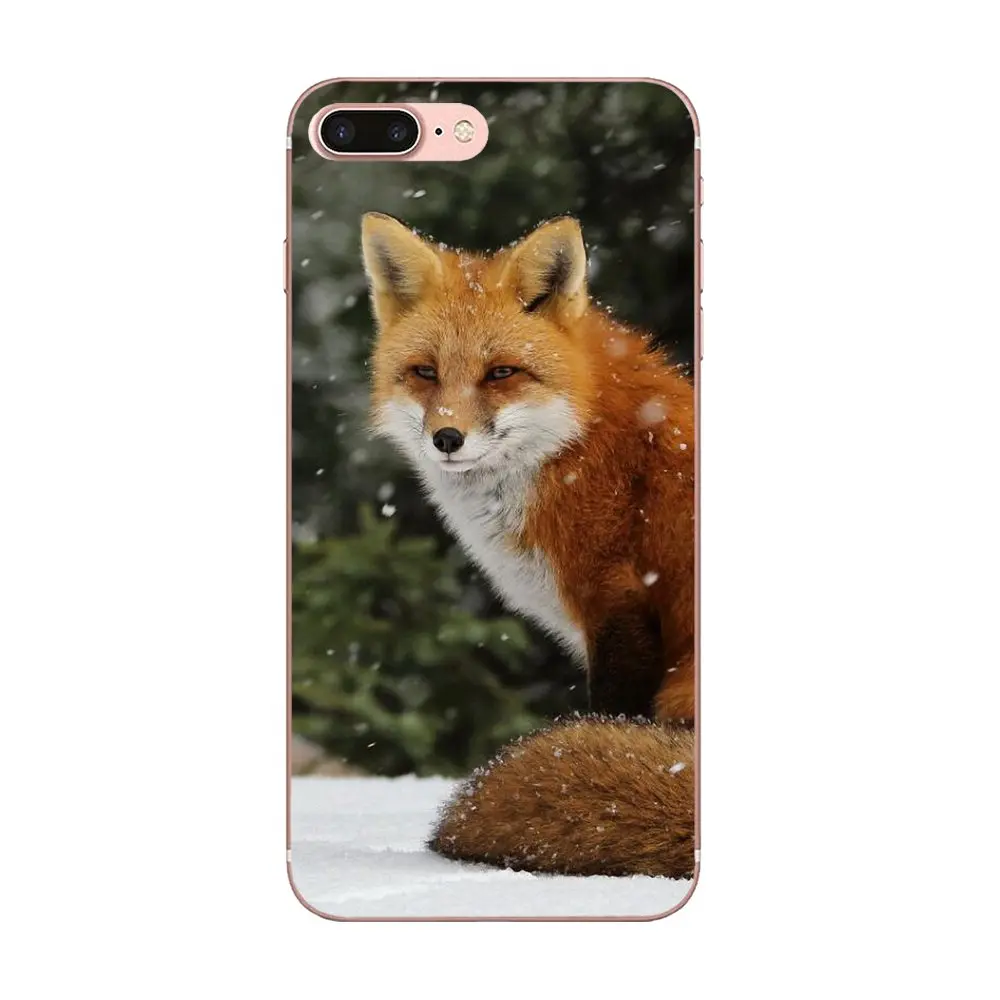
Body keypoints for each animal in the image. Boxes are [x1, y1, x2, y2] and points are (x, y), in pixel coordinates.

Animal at [361, 212, 696, 878]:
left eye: (501, 373)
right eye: (425, 371)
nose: (447, 438)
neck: (576, 445)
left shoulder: (617, 604)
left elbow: (613, 716)